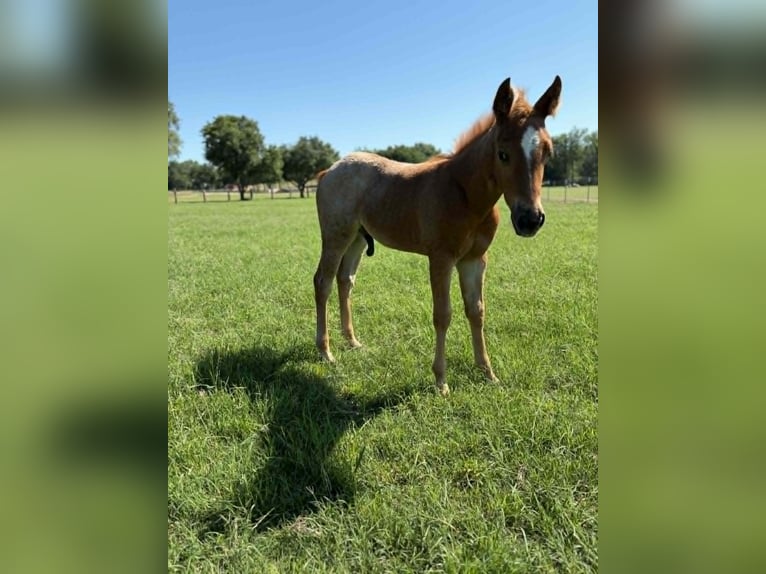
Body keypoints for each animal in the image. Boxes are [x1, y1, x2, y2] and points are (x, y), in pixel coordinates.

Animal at [313, 76, 561, 396]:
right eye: (503, 154)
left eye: (548, 152)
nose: (530, 220)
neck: (466, 195)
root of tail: (329, 170)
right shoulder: (441, 259)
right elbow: (443, 315)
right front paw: (441, 382)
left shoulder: (475, 260)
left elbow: (476, 311)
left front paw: (487, 372)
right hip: (336, 236)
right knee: (323, 282)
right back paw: (326, 351)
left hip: (357, 237)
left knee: (345, 280)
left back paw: (352, 341)